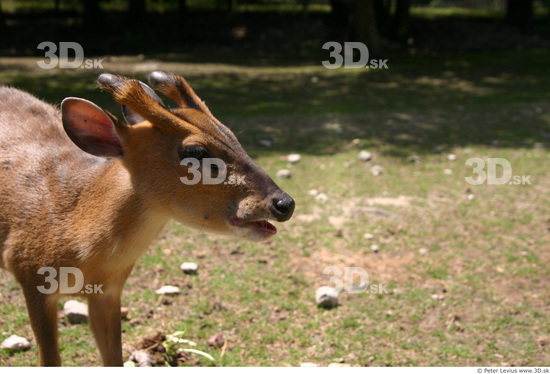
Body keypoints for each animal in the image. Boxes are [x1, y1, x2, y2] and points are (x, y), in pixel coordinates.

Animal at [0, 71, 298, 366]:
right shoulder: (29, 273)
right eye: (196, 153)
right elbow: (50, 359)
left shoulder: (109, 291)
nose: (284, 203)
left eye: (232, 135)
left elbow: (114, 357)